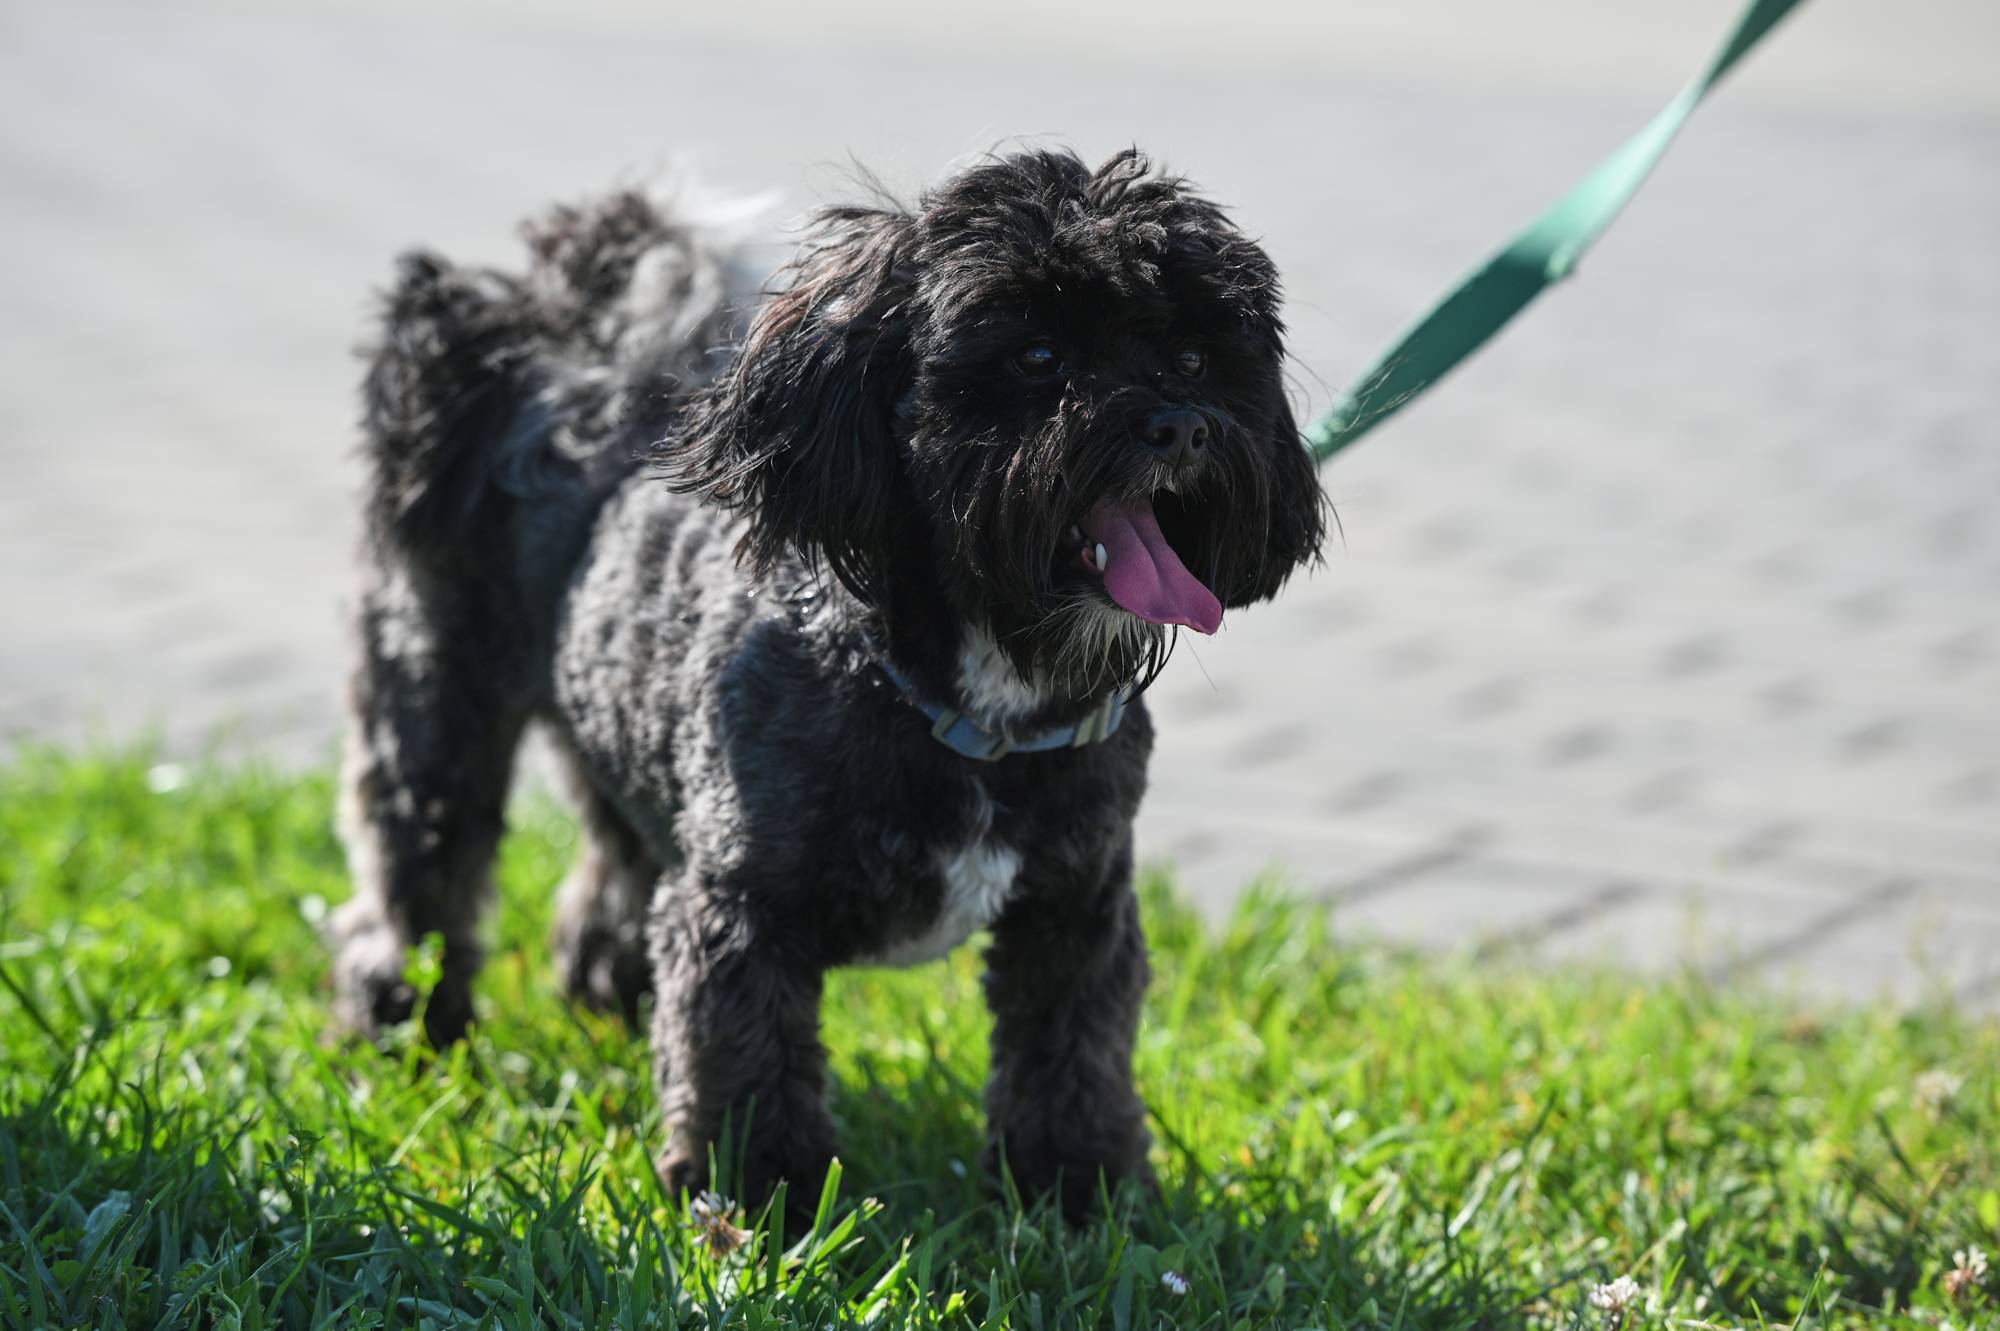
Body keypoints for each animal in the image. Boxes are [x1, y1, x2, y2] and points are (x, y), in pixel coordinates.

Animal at [329, 147, 1324, 1221]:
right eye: (1037, 357)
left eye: (1196, 358)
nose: (1179, 426)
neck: (976, 698)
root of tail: (559, 362)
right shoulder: (743, 913)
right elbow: (748, 1066)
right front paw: (762, 1207)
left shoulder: (1077, 907)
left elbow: (1072, 1062)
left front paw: (1080, 1198)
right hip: (437, 701)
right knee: (420, 875)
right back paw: (401, 1027)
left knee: (615, 865)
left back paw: (607, 995)